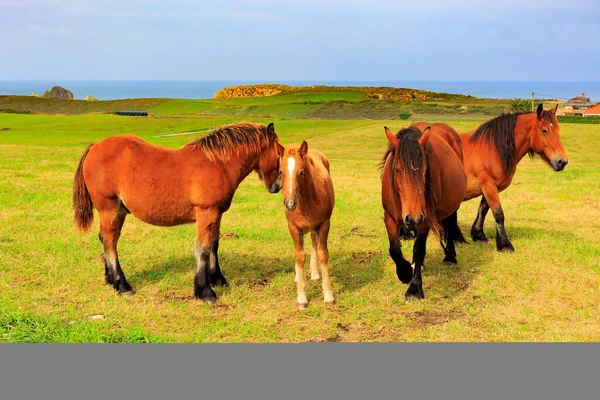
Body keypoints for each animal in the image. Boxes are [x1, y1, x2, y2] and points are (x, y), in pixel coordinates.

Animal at [72, 122, 284, 304]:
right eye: (280, 154)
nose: (277, 186)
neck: (218, 164)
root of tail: (95, 147)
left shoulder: (217, 214)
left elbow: (214, 245)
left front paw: (218, 279)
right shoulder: (206, 213)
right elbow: (203, 249)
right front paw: (205, 291)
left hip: (119, 211)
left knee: (106, 239)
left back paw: (110, 280)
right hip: (110, 209)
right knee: (110, 241)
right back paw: (122, 286)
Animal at [278, 141, 336, 310]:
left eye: (302, 172)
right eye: (280, 171)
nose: (290, 204)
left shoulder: (324, 224)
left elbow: (323, 254)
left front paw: (328, 296)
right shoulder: (293, 228)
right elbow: (299, 256)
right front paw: (302, 298)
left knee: (313, 242)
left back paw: (315, 274)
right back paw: (299, 277)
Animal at [380, 122, 468, 300]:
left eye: (425, 170)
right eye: (398, 170)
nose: (413, 218)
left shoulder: (425, 221)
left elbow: (419, 249)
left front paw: (414, 288)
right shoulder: (390, 218)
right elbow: (394, 250)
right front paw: (405, 272)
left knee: (449, 226)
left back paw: (449, 256)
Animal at [462, 104, 568, 252]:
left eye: (557, 130)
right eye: (544, 130)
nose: (562, 162)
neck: (491, 148)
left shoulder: (489, 187)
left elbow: (483, 209)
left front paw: (478, 234)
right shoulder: (488, 186)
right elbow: (498, 214)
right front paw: (505, 244)